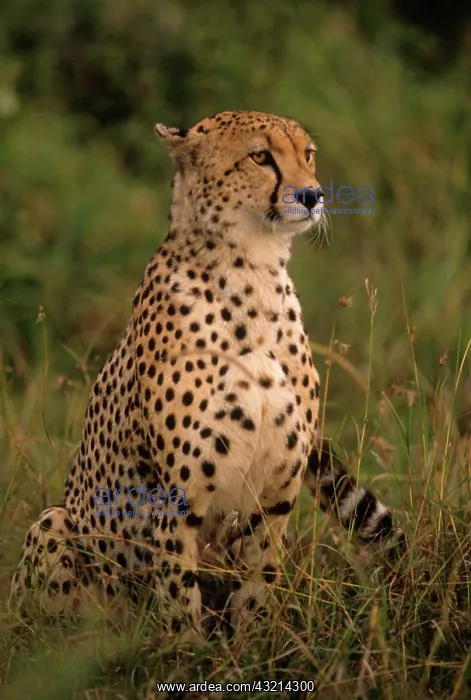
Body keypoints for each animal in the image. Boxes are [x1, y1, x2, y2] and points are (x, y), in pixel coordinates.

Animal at [10, 111, 403, 636]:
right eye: (261, 156)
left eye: (308, 155)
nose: (313, 195)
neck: (254, 274)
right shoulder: (177, 498)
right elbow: (179, 596)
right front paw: (187, 649)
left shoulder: (274, 498)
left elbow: (260, 583)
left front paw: (253, 644)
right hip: (54, 524)